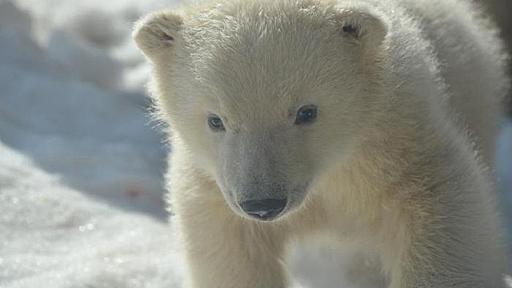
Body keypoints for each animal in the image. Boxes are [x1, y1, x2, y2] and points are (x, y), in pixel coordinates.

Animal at [134, 1, 510, 286]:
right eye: (215, 120)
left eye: (306, 112)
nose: (263, 204)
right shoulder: (213, 184)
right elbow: (231, 252)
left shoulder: (403, 149)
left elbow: (445, 225)